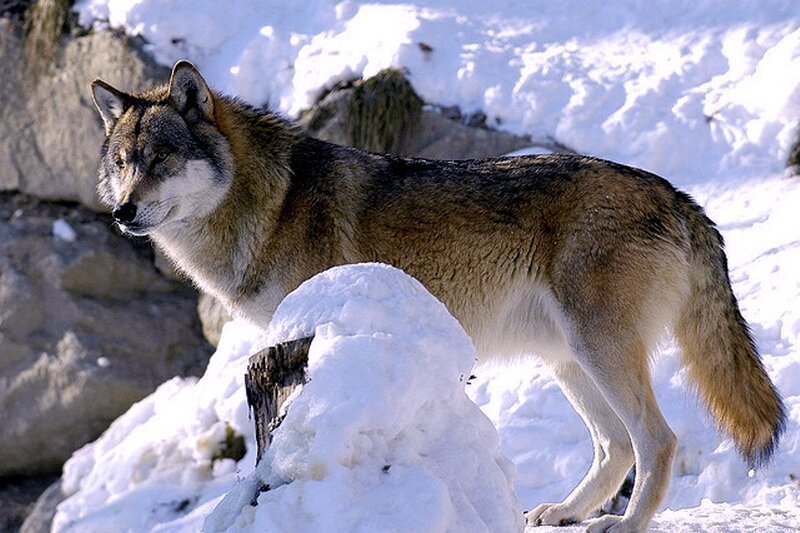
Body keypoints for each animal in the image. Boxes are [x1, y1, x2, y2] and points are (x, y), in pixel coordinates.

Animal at [90, 61, 785, 532]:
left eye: (161, 158)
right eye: (124, 163)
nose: (122, 212)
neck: (269, 202)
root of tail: (679, 195)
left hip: (598, 351)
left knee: (656, 441)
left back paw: (627, 523)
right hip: (567, 359)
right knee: (615, 446)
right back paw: (563, 512)